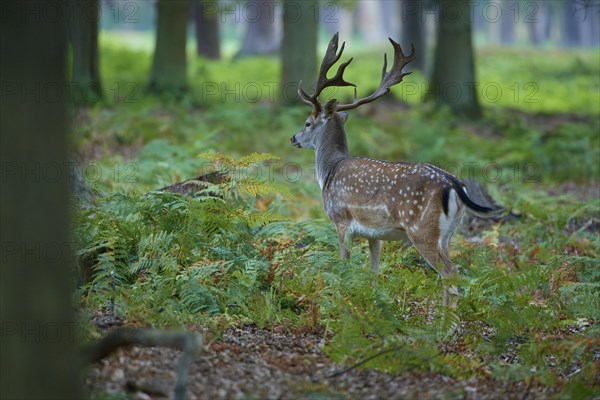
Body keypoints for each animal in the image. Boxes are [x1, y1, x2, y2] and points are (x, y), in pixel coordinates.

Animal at [290, 33, 502, 310]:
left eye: (307, 123)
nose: (293, 138)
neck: (329, 171)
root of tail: (454, 185)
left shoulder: (340, 219)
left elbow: (343, 264)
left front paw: (341, 302)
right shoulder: (374, 234)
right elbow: (373, 271)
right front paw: (371, 302)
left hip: (422, 230)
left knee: (451, 274)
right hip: (449, 233)